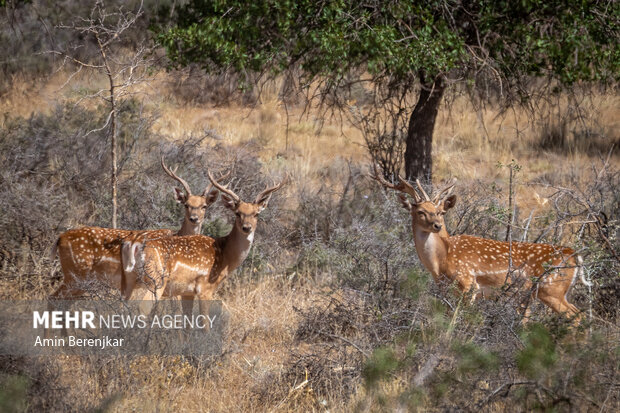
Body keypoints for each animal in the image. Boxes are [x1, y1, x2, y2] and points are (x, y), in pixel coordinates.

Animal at [49, 156, 225, 298]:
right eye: (186, 204)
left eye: (204, 206)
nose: (194, 218)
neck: (176, 236)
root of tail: (59, 238)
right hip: (75, 274)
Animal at [121, 173, 286, 312]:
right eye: (237, 213)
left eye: (256, 214)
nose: (247, 227)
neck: (225, 256)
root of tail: (135, 245)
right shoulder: (205, 289)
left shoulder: (187, 293)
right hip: (156, 281)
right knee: (142, 307)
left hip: (129, 281)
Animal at [372, 169, 592, 320]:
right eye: (420, 212)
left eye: (439, 211)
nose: (437, 225)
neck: (441, 263)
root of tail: (574, 255)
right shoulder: (446, 290)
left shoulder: (469, 284)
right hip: (554, 292)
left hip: (550, 289)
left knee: (575, 316)